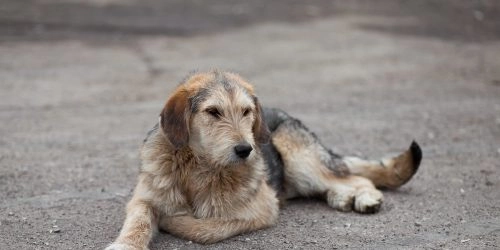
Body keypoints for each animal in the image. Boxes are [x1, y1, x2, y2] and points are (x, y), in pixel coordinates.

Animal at [105, 70, 422, 250]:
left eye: (246, 112)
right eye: (213, 112)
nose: (245, 150)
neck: (199, 166)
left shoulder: (263, 208)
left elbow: (206, 228)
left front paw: (175, 221)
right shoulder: (144, 197)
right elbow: (139, 220)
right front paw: (125, 244)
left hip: (300, 157)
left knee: (354, 176)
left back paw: (365, 197)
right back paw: (341, 197)